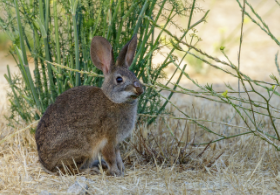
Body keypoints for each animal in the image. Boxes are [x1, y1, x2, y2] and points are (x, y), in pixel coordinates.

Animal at [34, 34, 143, 176]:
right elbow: (111, 157)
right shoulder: (108, 139)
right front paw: (115, 172)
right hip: (82, 149)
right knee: (71, 170)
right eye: (119, 79)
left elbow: (118, 155)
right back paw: (92, 170)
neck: (113, 100)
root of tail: (46, 164)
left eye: (134, 75)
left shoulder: (116, 142)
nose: (140, 89)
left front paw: (122, 169)